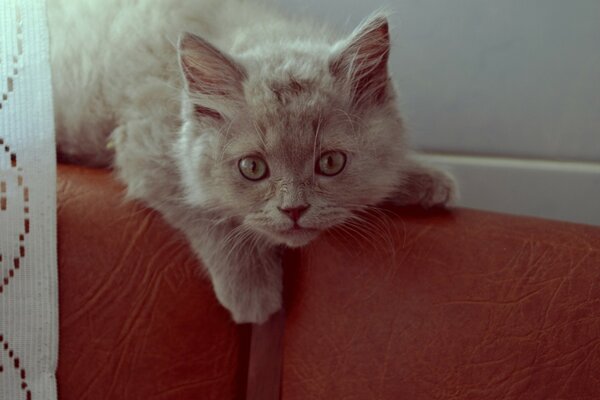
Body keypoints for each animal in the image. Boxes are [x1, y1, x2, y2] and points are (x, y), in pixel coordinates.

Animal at [49, 0, 454, 324]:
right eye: (253, 168)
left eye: (330, 163)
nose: (294, 210)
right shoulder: (146, 147)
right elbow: (209, 214)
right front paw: (252, 290)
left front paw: (422, 178)